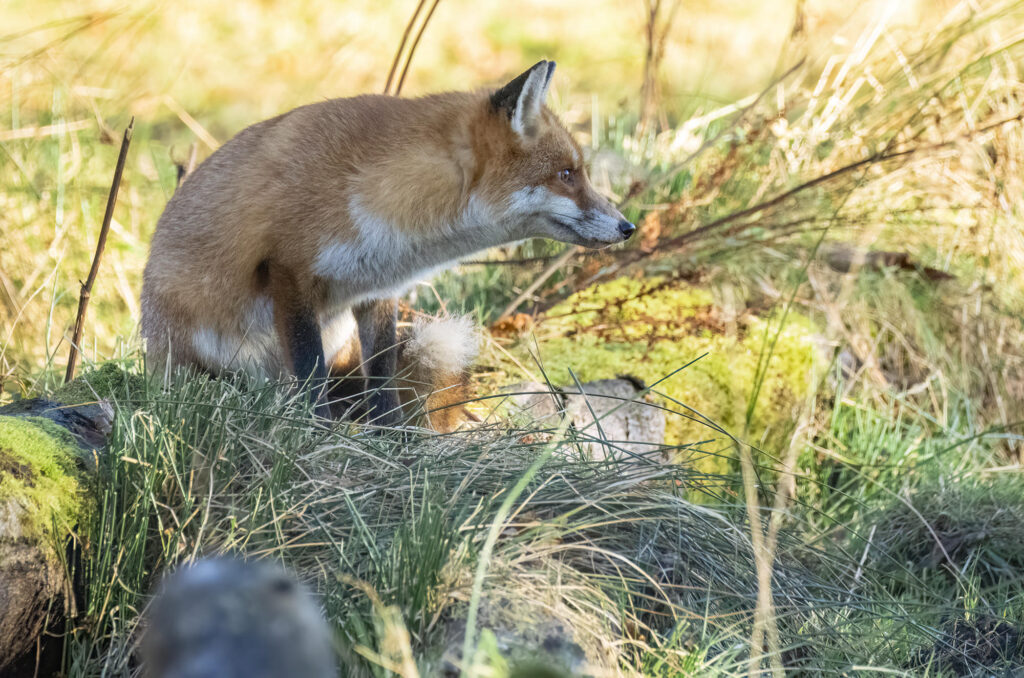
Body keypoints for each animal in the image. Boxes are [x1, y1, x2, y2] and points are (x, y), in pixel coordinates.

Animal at [140, 62, 634, 426]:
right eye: (567, 174)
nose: (627, 227)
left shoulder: (376, 287)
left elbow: (381, 379)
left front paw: (392, 437)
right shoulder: (289, 271)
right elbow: (310, 371)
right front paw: (318, 430)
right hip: (187, 354)